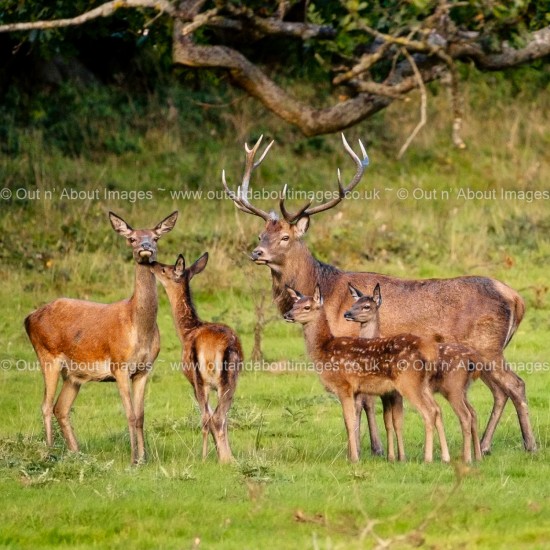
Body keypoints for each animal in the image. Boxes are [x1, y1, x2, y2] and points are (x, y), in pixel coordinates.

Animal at [24, 211, 179, 466]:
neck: (138, 327)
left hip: (73, 374)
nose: (145, 248)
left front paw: (144, 458)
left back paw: (77, 454)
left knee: (60, 408)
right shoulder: (119, 365)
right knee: (46, 405)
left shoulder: (144, 369)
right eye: (132, 239)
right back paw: (49, 452)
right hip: (47, 355)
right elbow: (130, 414)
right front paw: (133, 459)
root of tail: (28, 318)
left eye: (156, 237)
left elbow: (141, 416)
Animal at [152, 256, 245, 466]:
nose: (151, 264)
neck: (187, 332)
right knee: (219, 417)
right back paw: (227, 458)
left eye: (165, 269)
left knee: (210, 418)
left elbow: (207, 416)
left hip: (204, 379)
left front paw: (219, 456)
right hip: (225, 380)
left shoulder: (194, 382)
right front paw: (226, 456)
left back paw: (209, 458)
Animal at [284, 288, 452, 466]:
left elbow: (349, 421)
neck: (325, 350)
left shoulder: (344, 386)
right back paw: (445, 457)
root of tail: (429, 351)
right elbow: (354, 421)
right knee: (437, 409)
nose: (287, 314)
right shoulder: (356, 390)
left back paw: (428, 458)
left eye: (307, 307)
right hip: (423, 385)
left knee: (429, 412)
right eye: (294, 304)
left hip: (409, 383)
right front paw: (353, 455)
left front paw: (354, 459)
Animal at [350, 284, 484, 466]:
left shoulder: (395, 393)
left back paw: (466, 458)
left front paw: (400, 457)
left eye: (366, 306)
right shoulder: (386, 394)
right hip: (462, 389)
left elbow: (397, 421)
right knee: (473, 413)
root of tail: (472, 359)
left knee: (464, 415)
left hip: (452, 388)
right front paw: (392, 456)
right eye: (353, 303)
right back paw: (477, 456)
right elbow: (387, 422)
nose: (347, 313)